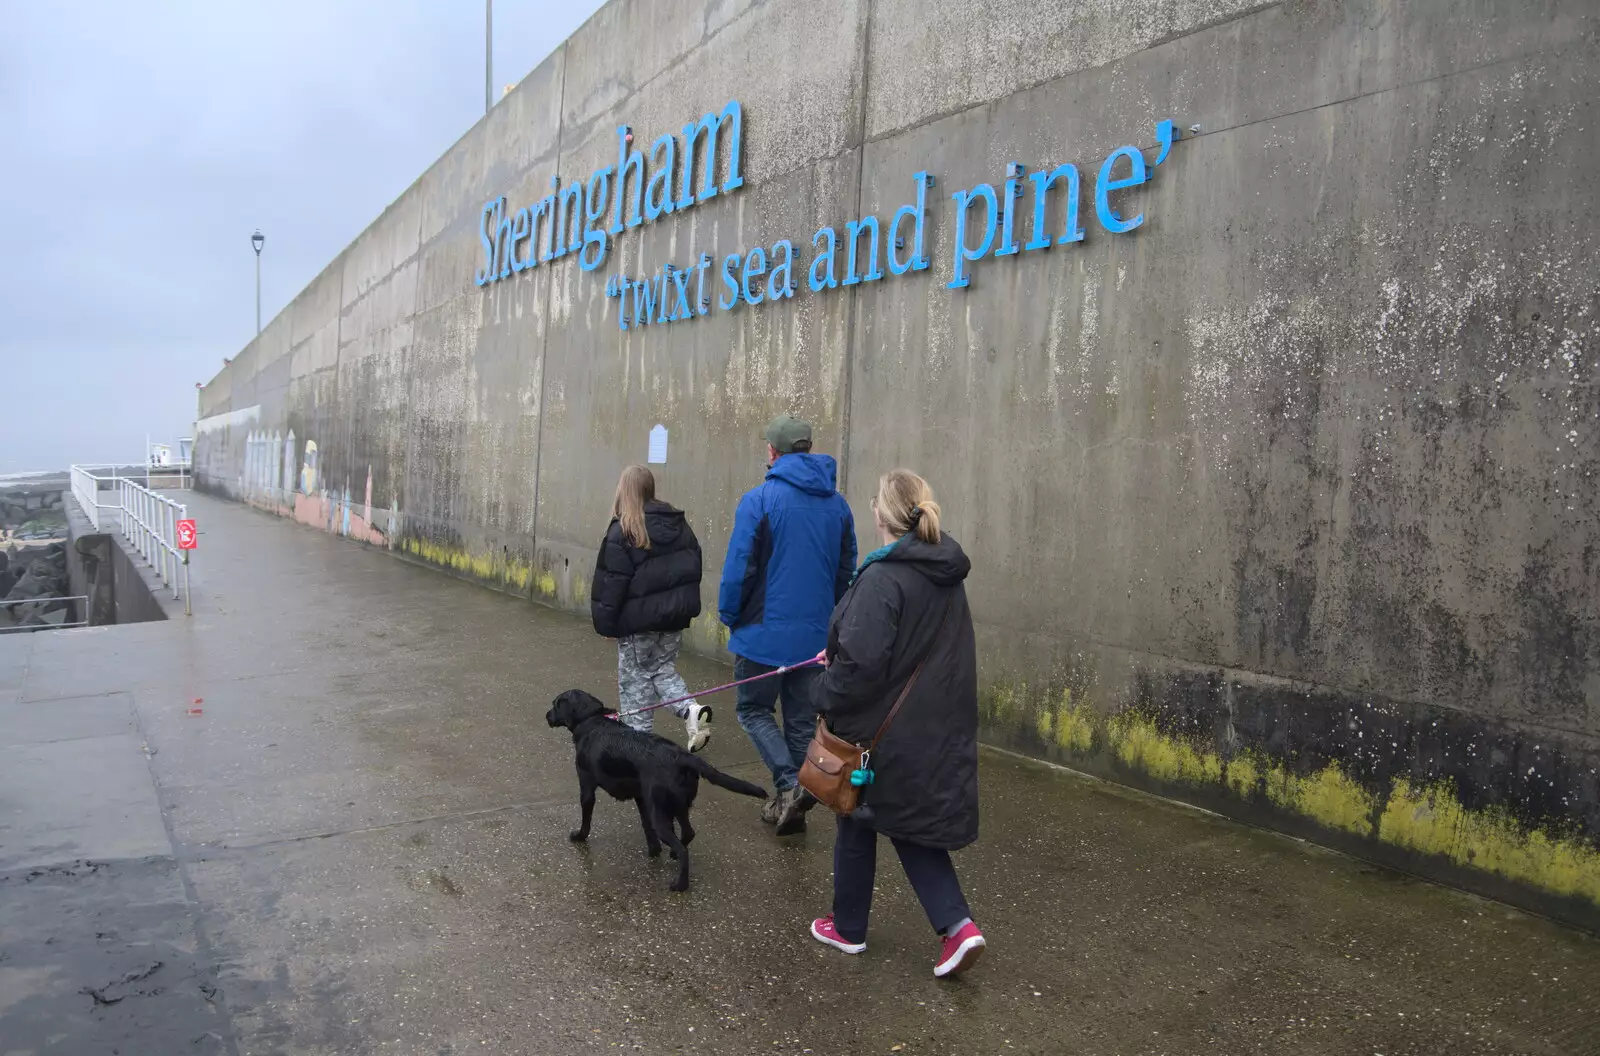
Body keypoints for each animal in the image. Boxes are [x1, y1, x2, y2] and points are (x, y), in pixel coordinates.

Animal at [544, 688, 768, 889]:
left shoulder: (586, 786)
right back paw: (673, 853)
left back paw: (680, 884)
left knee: (683, 847)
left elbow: (586, 819)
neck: (592, 719)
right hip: (677, 806)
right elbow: (646, 828)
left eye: (555, 705)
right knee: (688, 833)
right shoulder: (642, 798)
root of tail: (681, 756)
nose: (546, 715)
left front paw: (579, 836)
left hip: (661, 813)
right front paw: (654, 851)